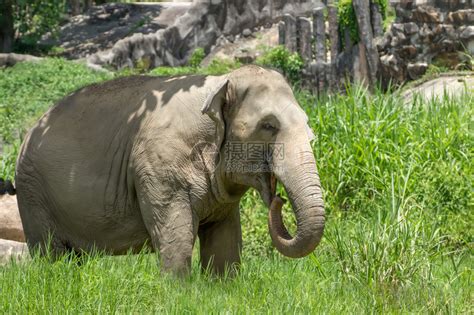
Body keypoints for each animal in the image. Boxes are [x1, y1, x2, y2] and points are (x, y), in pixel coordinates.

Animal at [8, 65, 326, 276]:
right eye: (269, 125)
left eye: (307, 123)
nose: (279, 199)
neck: (221, 80)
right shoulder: (160, 167)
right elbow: (177, 237)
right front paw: (179, 293)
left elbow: (225, 242)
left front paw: (222, 287)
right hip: (33, 193)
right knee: (50, 253)